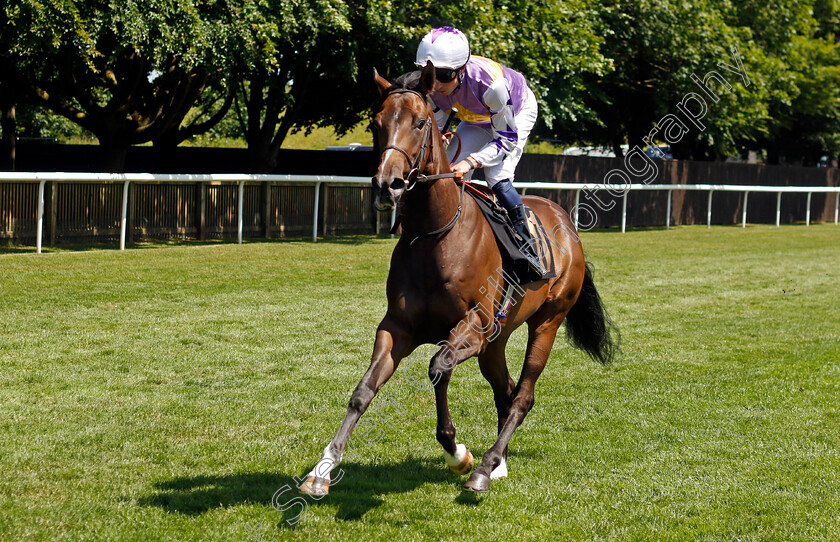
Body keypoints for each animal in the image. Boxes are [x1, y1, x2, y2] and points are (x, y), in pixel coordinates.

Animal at [300, 61, 616, 496]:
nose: (387, 184)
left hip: (546, 322)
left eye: (419, 123)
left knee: (523, 394)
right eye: (377, 123)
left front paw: (457, 453)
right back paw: (497, 463)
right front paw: (323, 469)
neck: (435, 234)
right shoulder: (398, 326)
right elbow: (363, 390)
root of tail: (566, 223)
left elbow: (439, 366)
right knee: (505, 389)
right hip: (496, 340)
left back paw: (483, 468)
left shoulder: (473, 326)